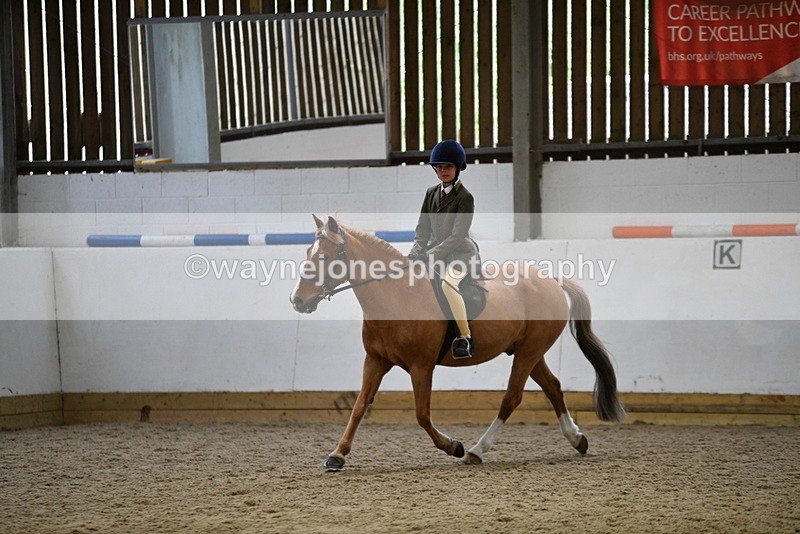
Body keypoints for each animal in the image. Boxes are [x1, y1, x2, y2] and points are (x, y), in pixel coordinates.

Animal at [290, 215, 625, 470]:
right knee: (553, 387)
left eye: (324, 257)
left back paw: (476, 450)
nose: (297, 300)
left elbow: (422, 415)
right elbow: (359, 407)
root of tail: (551, 281)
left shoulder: (421, 366)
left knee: (511, 398)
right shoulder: (375, 361)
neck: (396, 296)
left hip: (529, 351)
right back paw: (577, 439)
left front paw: (453, 446)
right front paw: (336, 455)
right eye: (307, 253)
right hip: (530, 350)